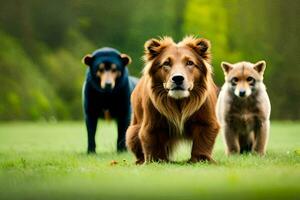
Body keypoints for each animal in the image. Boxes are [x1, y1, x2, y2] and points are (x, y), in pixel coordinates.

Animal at [125, 36, 219, 164]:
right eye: (166, 63)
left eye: (190, 62)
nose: (178, 78)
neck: (179, 101)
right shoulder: (154, 118)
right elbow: (153, 139)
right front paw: (157, 160)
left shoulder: (204, 116)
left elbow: (203, 139)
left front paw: (201, 159)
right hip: (133, 130)